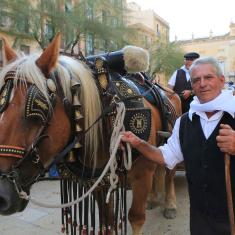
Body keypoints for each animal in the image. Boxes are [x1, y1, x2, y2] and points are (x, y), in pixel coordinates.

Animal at [0, 33, 180, 235]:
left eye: (36, 115)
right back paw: (153, 198)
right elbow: (107, 221)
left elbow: (136, 218)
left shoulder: (142, 175)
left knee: (169, 173)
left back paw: (170, 204)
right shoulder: (98, 182)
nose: (2, 195)